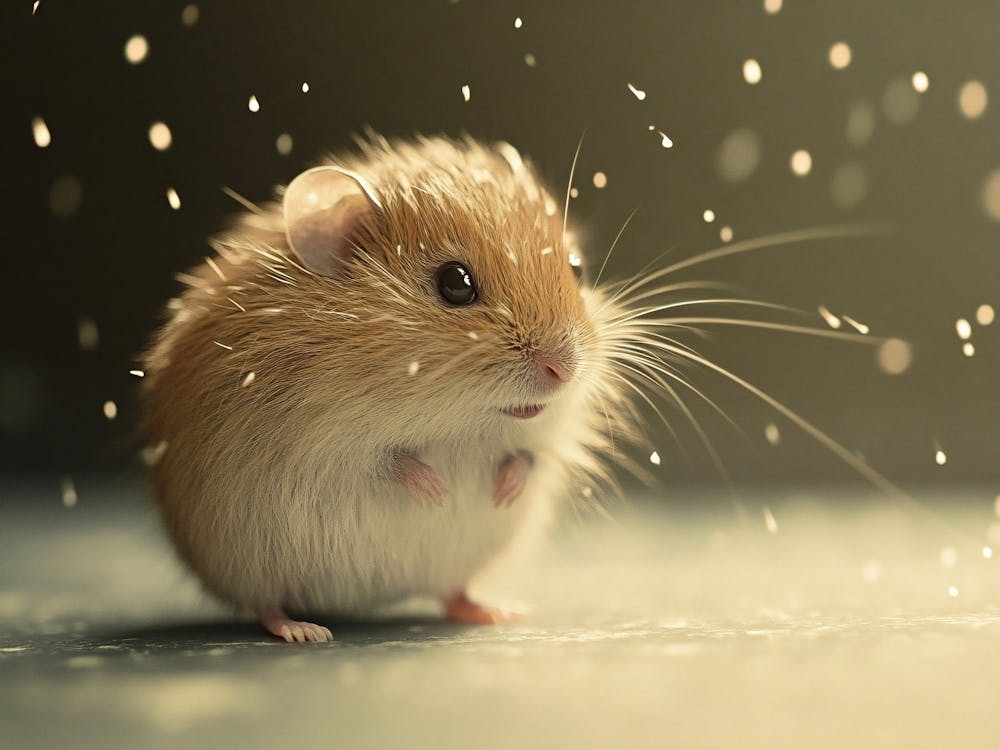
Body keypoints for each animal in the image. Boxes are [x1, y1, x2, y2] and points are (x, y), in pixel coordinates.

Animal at [141, 134, 634, 642]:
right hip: (249, 562)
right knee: (267, 604)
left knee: (453, 593)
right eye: (455, 283)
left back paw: (498, 611)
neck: (460, 423)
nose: (563, 370)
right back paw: (305, 631)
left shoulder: (546, 439)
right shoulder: (323, 444)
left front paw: (502, 491)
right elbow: (388, 460)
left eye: (576, 268)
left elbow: (528, 455)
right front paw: (438, 494)